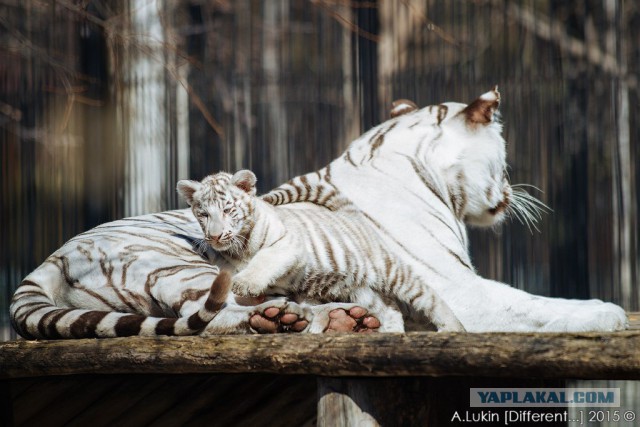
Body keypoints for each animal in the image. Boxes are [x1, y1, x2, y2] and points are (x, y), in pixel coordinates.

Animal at [10, 88, 628, 340]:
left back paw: (335, 318)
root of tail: (53, 255)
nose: (507, 190)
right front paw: (608, 313)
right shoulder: (459, 286)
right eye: (501, 151)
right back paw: (307, 319)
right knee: (204, 311)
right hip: (180, 263)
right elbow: (535, 305)